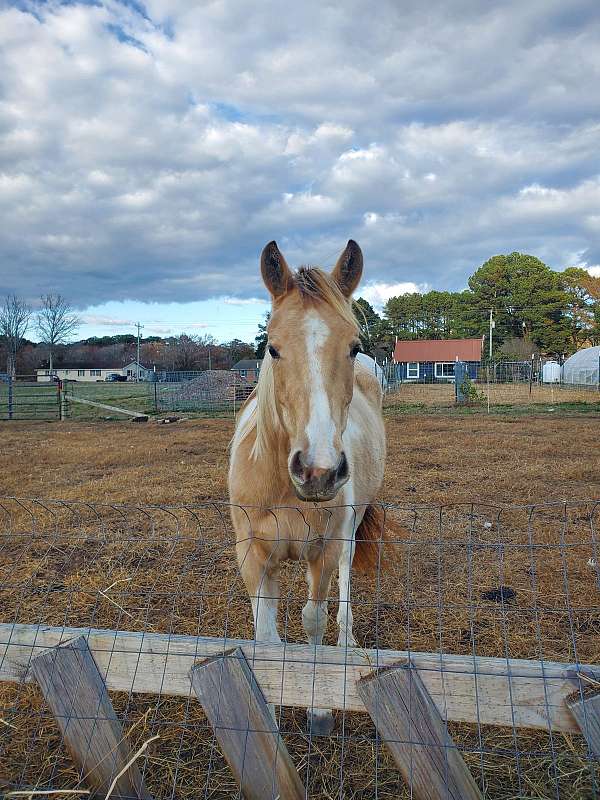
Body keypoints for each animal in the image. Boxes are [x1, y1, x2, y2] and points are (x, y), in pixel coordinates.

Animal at [230, 241, 384, 736]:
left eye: (353, 347)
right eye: (273, 349)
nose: (318, 471)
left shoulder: (322, 551)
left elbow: (312, 619)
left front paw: (317, 709)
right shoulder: (252, 555)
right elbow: (266, 636)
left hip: (349, 531)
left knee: (345, 586)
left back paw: (347, 642)